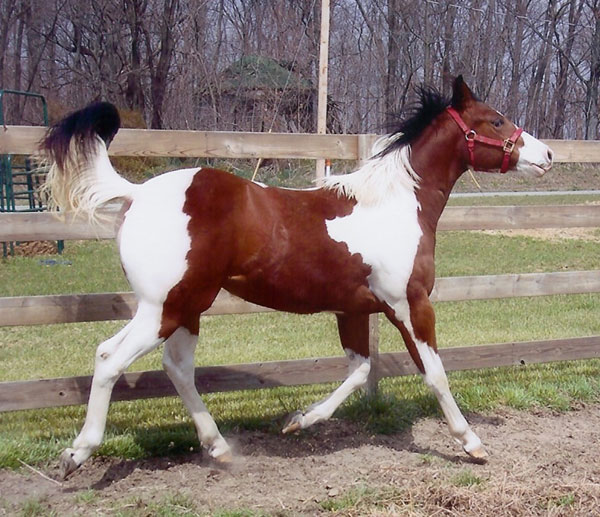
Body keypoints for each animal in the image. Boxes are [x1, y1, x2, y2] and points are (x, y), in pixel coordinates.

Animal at [42, 75, 552, 476]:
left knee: (177, 367)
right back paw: (76, 454)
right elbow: (435, 374)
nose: (547, 155)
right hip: (163, 307)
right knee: (110, 357)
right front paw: (473, 444)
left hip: (187, 306)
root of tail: (136, 194)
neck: (396, 205)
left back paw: (221, 449)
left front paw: (298, 420)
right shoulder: (409, 305)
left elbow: (360, 369)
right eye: (496, 120)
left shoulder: (354, 309)